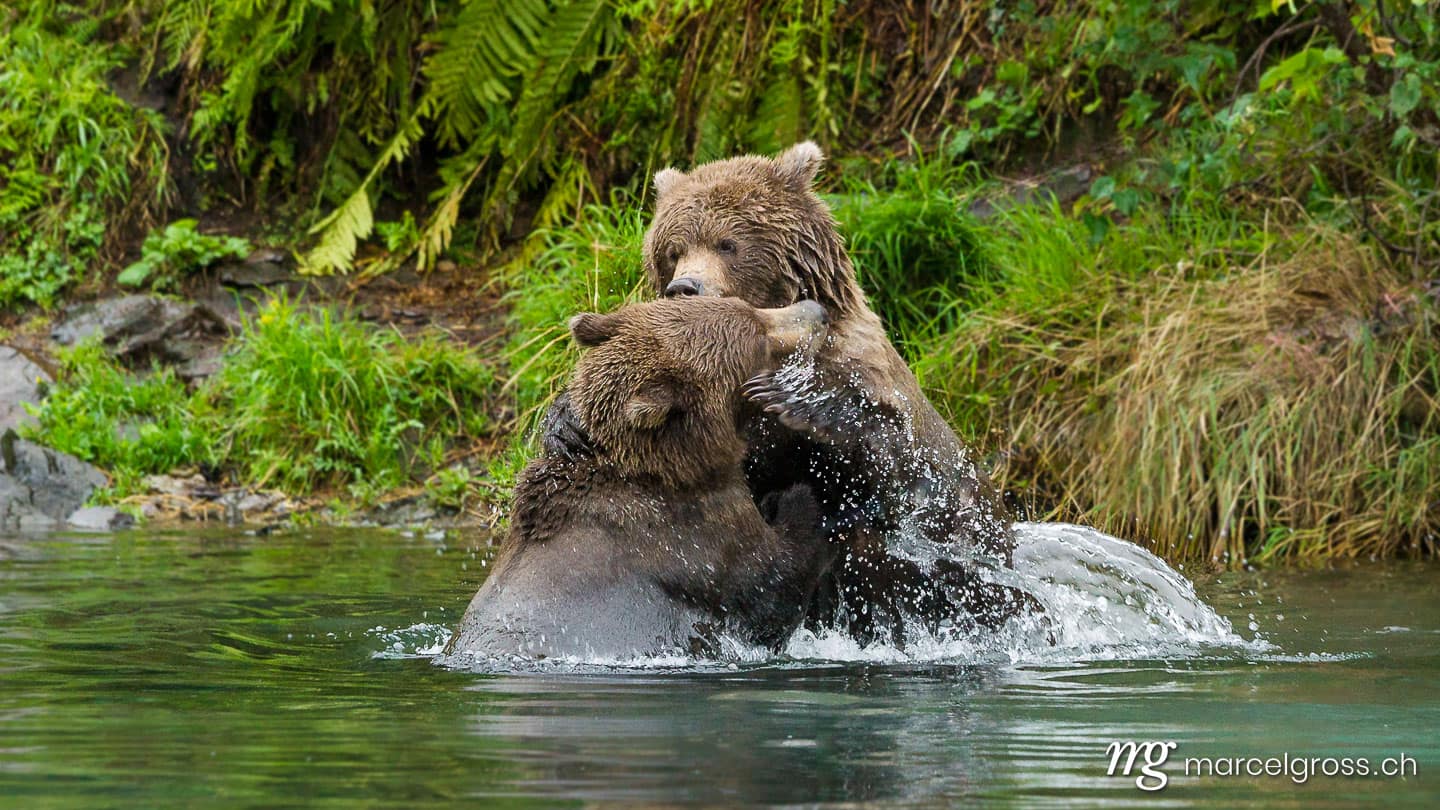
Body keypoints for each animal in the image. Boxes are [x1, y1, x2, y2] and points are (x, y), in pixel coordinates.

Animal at [447, 296, 835, 662]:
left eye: (749, 307)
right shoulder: (693, 541)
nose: (816, 311)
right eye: (759, 339)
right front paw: (802, 498)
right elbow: (772, 590)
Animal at [543, 142, 1032, 646]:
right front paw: (567, 427)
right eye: (673, 250)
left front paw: (798, 402)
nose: (685, 286)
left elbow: (900, 474)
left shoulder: (866, 383)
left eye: (727, 243)